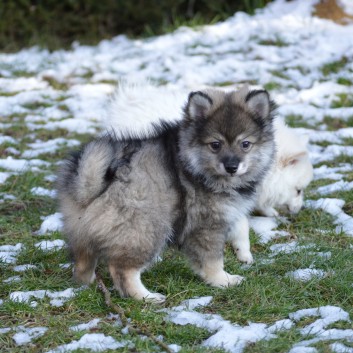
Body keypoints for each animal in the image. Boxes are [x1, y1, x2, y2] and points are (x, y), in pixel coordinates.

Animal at [56, 86, 276, 302]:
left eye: (245, 144)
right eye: (215, 145)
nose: (232, 167)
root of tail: (89, 187)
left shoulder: (230, 211)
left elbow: (241, 228)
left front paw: (244, 255)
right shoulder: (206, 226)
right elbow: (212, 260)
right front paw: (223, 280)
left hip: (82, 233)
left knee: (82, 263)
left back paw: (87, 283)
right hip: (145, 231)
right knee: (122, 270)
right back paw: (147, 297)